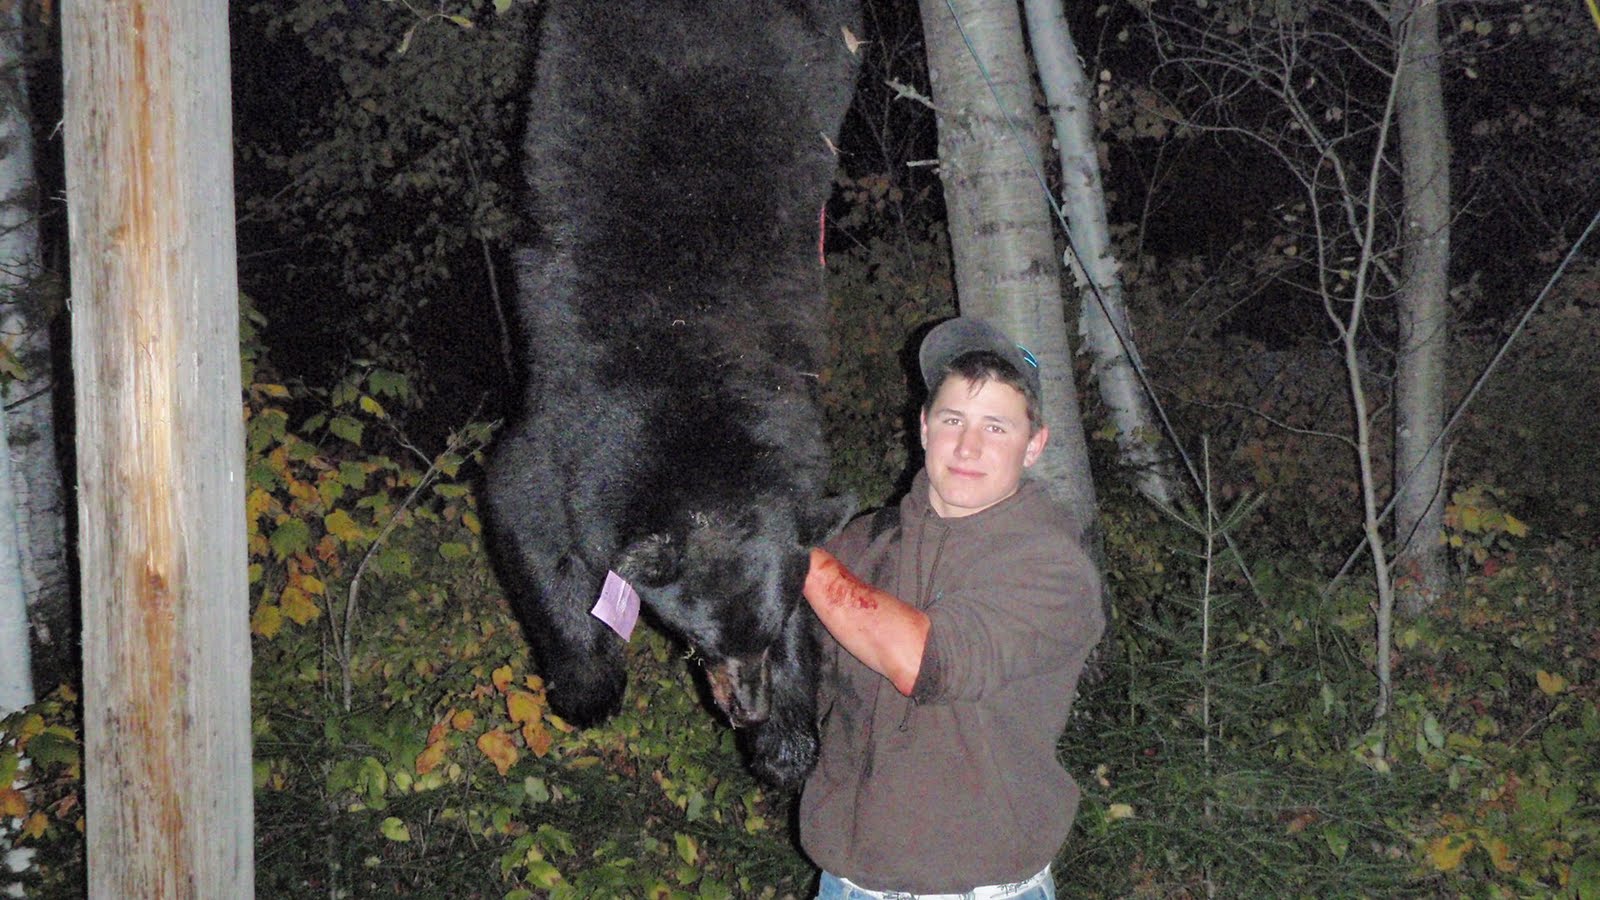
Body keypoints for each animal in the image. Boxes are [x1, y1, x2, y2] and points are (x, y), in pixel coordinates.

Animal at [482, 0, 861, 789]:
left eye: (767, 634)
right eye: (698, 638)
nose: (745, 709)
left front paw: (787, 741)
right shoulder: (573, 431)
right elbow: (523, 512)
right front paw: (589, 684)